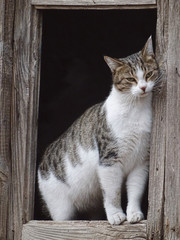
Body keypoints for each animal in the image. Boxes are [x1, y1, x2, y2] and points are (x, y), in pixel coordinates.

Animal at [37, 36, 159, 224]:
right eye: (130, 79)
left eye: (148, 74)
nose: (143, 87)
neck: (135, 108)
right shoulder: (109, 161)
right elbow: (112, 194)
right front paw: (116, 215)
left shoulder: (140, 162)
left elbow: (135, 191)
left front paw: (134, 214)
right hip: (60, 207)